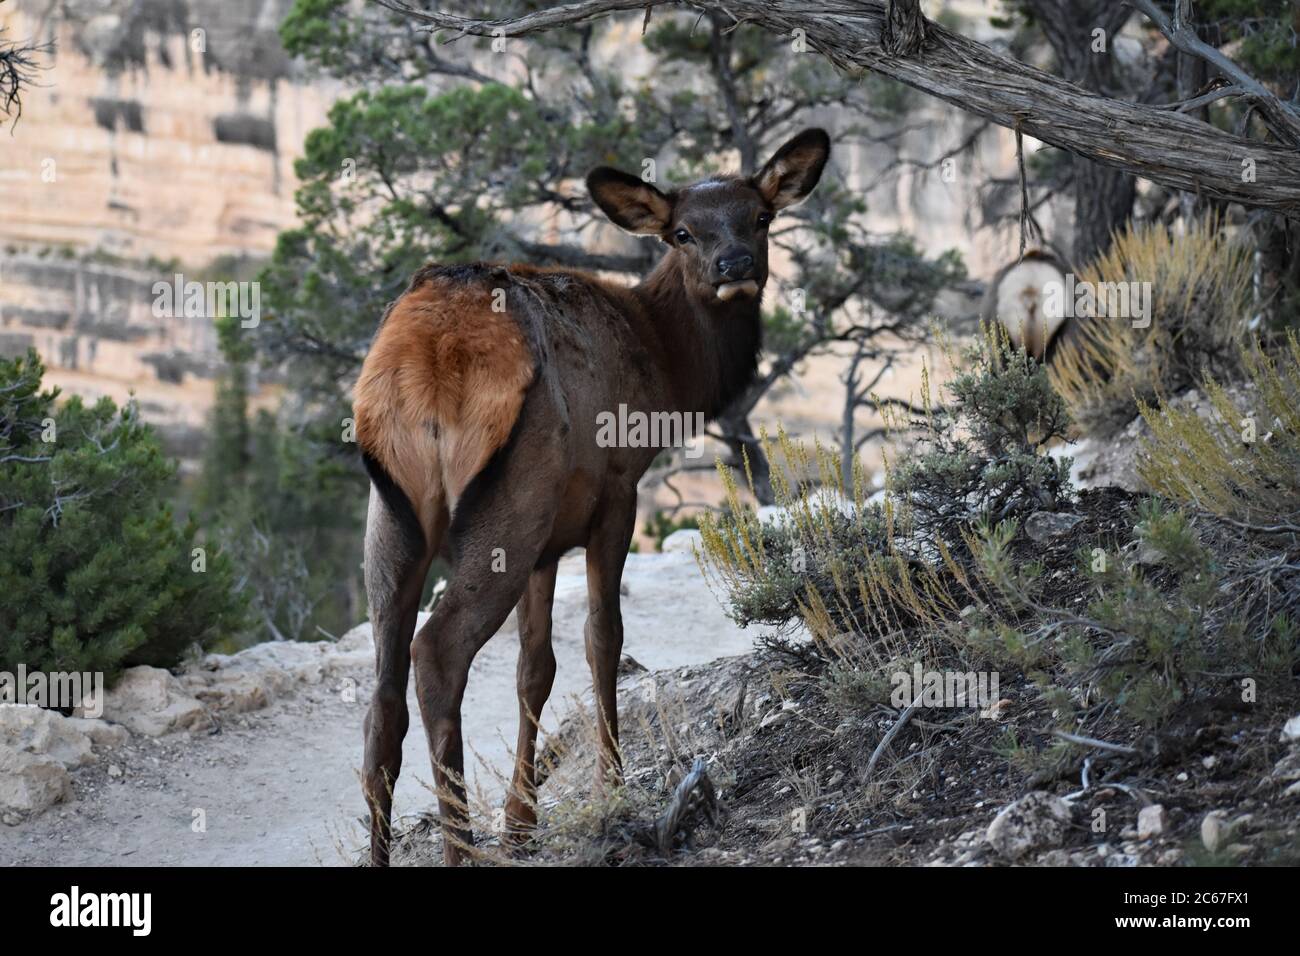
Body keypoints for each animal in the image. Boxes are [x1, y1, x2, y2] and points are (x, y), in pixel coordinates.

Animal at [351, 127, 826, 868]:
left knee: (382, 693)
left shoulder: (549, 541)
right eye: (683, 232)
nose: (735, 264)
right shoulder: (616, 490)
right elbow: (604, 640)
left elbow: (534, 667)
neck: (667, 374)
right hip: (507, 509)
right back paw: (462, 848)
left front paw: (522, 822)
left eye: (761, 216)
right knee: (437, 653)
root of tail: (423, 354)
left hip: (396, 512)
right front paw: (611, 788)